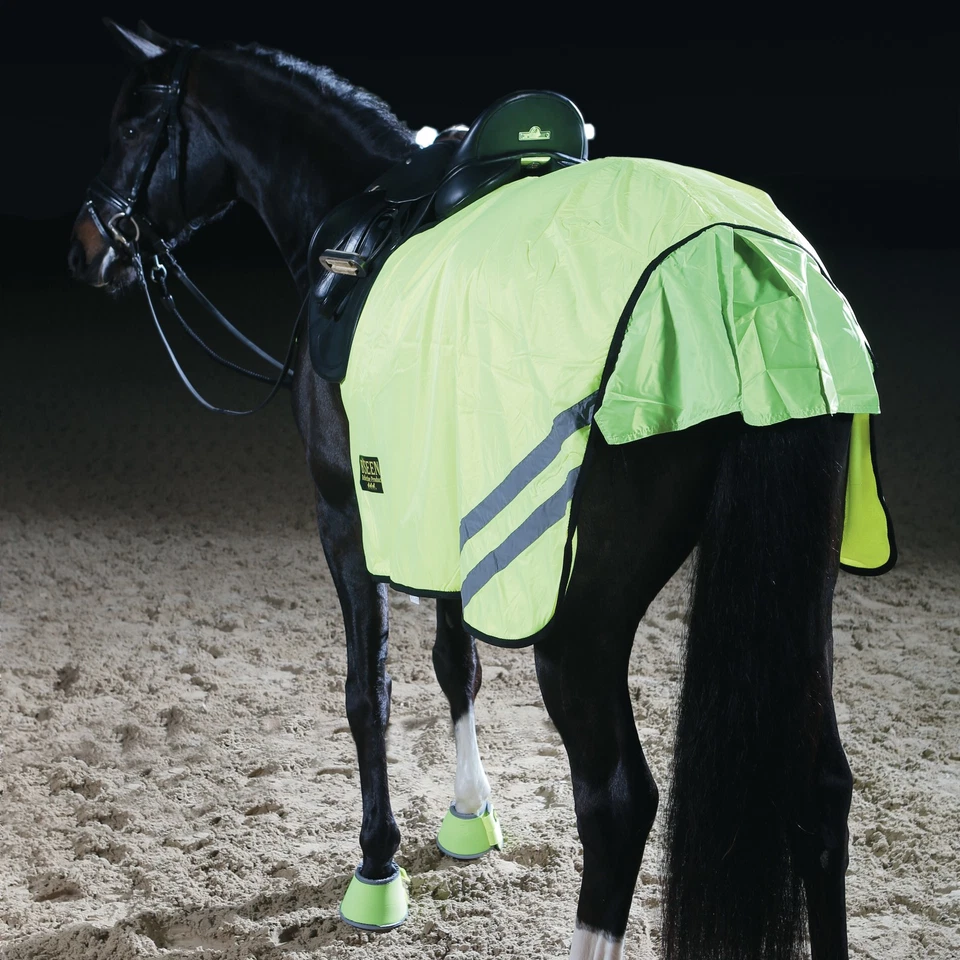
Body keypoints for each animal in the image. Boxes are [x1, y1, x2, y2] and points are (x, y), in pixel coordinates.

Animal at [69, 23, 866, 960]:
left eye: (130, 128)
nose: (87, 247)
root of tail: (742, 273)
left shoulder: (346, 516)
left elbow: (367, 690)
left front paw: (378, 870)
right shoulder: (437, 505)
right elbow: (458, 665)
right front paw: (469, 816)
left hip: (580, 629)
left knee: (618, 803)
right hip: (798, 598)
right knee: (822, 790)